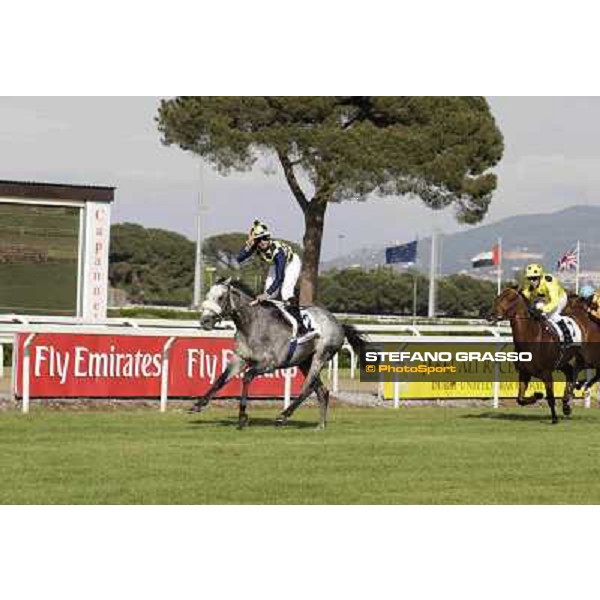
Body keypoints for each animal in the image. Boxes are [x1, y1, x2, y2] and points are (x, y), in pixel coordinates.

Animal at [190, 278, 366, 428]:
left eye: (220, 297)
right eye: (207, 296)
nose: (204, 321)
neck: (253, 325)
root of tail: (338, 323)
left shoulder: (270, 364)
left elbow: (247, 377)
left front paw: (242, 416)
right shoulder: (240, 358)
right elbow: (220, 379)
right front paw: (198, 404)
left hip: (320, 357)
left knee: (307, 388)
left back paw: (283, 415)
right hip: (304, 361)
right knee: (321, 390)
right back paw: (320, 425)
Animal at [490, 288, 580, 422]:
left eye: (511, 298)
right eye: (498, 297)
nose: (492, 314)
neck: (532, 338)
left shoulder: (547, 373)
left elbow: (551, 397)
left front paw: (554, 419)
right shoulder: (524, 373)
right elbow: (520, 399)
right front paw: (538, 395)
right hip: (561, 362)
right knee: (570, 372)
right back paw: (566, 405)